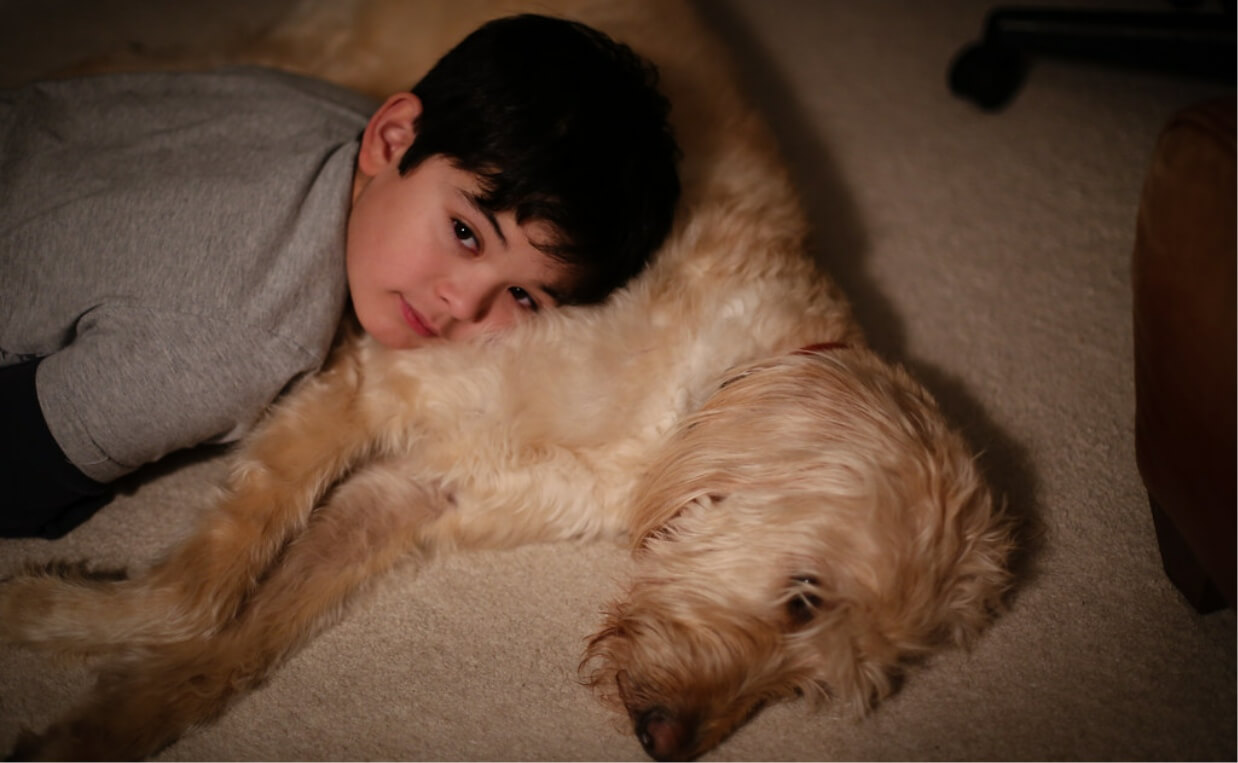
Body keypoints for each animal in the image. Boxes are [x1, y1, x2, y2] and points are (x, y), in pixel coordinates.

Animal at [0, 2, 1015, 758]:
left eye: (816, 682)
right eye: (804, 594)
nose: (667, 740)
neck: (681, 405)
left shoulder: (413, 495)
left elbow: (231, 648)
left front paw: (93, 731)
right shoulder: (374, 384)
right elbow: (196, 595)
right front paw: (30, 603)